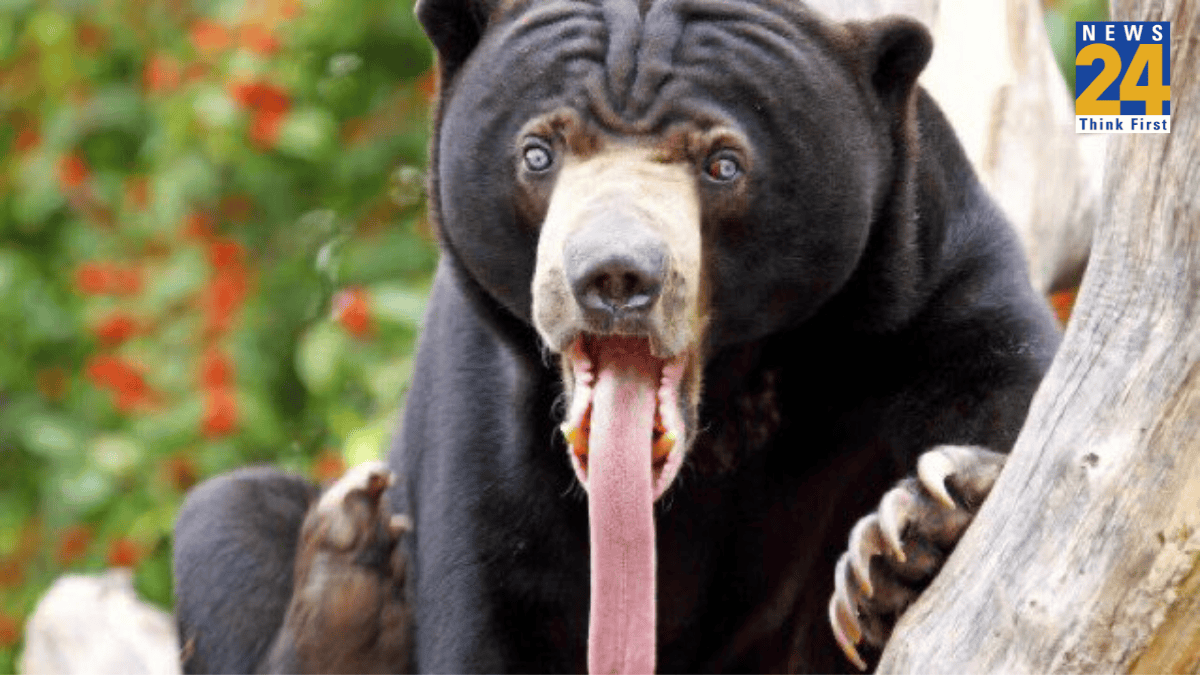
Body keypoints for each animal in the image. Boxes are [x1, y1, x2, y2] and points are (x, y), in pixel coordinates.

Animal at [171, 0, 1063, 672]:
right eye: (538, 152)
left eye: (723, 164)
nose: (613, 277)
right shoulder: (482, 400)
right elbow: (489, 605)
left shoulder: (930, 281)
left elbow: (1008, 399)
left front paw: (914, 530)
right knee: (229, 518)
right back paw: (346, 578)